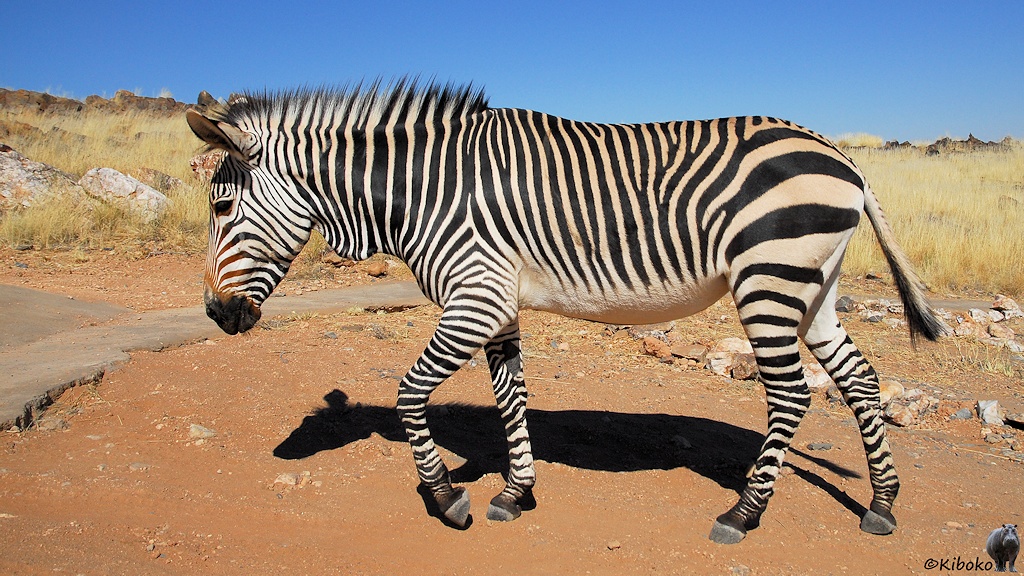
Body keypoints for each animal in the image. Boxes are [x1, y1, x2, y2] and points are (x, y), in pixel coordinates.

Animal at [186, 80, 947, 544]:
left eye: (221, 208)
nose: (218, 315)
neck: (426, 188)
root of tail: (844, 159)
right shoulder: (497, 301)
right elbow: (510, 396)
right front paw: (515, 492)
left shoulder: (474, 294)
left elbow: (409, 394)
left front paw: (447, 498)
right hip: (812, 285)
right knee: (861, 380)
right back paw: (882, 505)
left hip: (769, 279)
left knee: (791, 393)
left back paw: (744, 511)